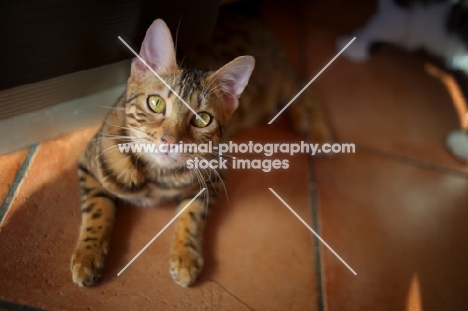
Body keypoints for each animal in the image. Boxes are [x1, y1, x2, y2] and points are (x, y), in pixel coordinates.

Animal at [70, 8, 332, 288]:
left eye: (202, 119)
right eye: (155, 103)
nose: (170, 140)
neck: (155, 175)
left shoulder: (212, 178)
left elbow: (191, 217)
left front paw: (185, 257)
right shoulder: (88, 164)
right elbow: (97, 210)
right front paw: (88, 255)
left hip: (278, 79)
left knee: (308, 90)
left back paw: (320, 136)